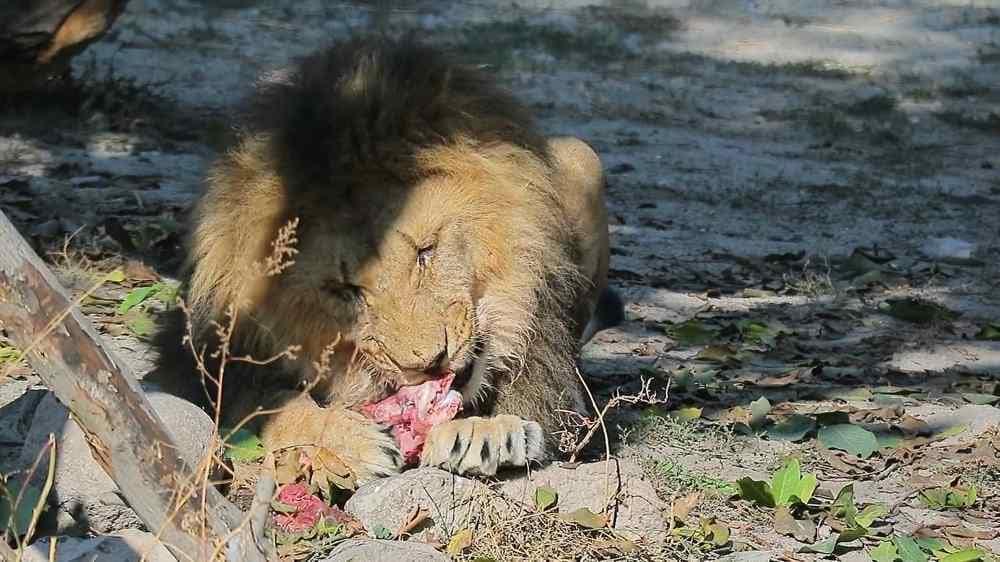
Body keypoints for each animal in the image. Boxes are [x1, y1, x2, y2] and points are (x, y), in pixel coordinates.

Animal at [149, 36, 620, 482]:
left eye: (425, 252)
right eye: (345, 290)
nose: (430, 364)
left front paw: (486, 432)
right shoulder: (200, 356)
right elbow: (268, 404)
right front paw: (344, 442)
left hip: (581, 153)